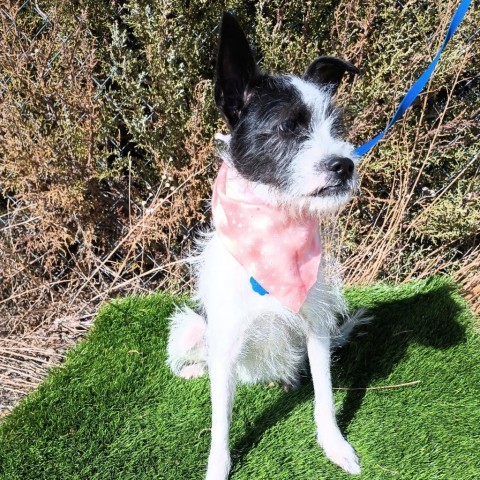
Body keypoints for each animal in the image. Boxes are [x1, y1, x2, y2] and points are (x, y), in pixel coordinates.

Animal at [168, 13, 364, 478]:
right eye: (288, 127)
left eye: (337, 127)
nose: (345, 165)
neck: (273, 225)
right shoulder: (224, 342)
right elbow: (220, 425)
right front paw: (217, 469)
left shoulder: (315, 326)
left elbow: (325, 395)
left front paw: (335, 446)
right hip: (190, 328)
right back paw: (194, 370)